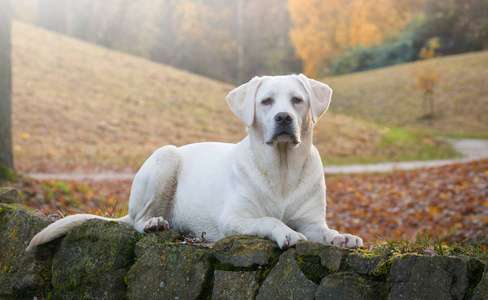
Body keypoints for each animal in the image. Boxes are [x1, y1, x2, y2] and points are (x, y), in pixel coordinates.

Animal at [26, 74, 362, 251]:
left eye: (297, 100)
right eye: (266, 101)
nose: (283, 118)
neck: (281, 169)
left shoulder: (312, 221)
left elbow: (326, 232)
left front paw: (342, 236)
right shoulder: (234, 219)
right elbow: (270, 220)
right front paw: (286, 232)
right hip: (166, 156)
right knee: (136, 221)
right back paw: (154, 223)